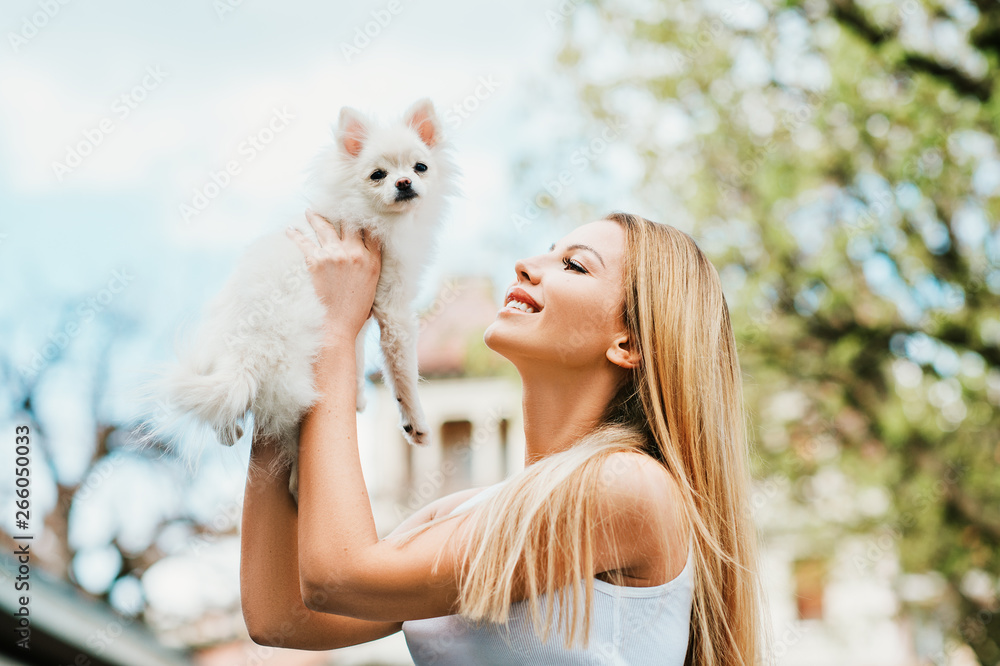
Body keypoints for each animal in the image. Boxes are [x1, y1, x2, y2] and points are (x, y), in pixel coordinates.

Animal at [152, 98, 460, 500]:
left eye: (420, 167)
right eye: (378, 175)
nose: (404, 182)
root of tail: (246, 350)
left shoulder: (359, 316)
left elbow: (356, 356)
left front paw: (357, 395)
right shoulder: (395, 311)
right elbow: (404, 375)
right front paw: (416, 421)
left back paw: (230, 429)